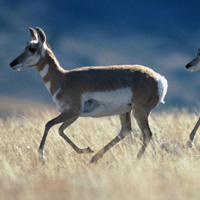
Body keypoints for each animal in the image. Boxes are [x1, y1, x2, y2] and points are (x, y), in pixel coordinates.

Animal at [10, 27, 168, 163]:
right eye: (25, 46)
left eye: (32, 48)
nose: (12, 63)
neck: (63, 78)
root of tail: (158, 78)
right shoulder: (74, 114)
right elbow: (60, 130)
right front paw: (86, 149)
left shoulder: (73, 111)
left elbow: (49, 124)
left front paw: (42, 158)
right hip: (125, 111)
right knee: (126, 130)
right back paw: (94, 158)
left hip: (139, 111)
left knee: (147, 134)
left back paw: (135, 161)